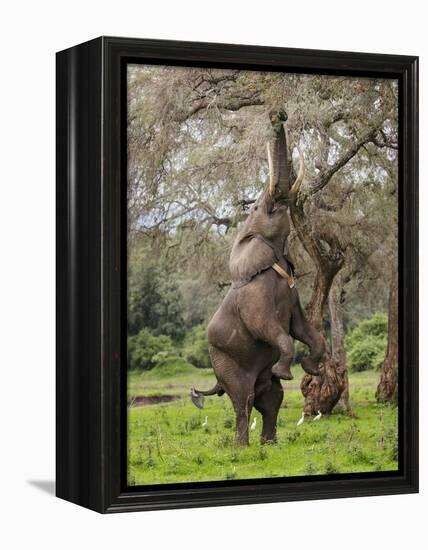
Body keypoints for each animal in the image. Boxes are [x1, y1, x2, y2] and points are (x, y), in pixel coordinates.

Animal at [191, 112, 324, 448]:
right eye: (254, 207)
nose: (279, 115)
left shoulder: (294, 295)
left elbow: (303, 330)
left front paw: (311, 368)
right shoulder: (253, 299)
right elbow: (270, 329)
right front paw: (287, 371)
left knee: (272, 399)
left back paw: (270, 444)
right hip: (224, 360)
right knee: (244, 400)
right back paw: (242, 448)